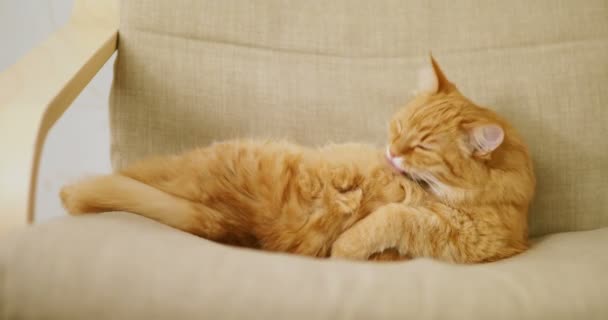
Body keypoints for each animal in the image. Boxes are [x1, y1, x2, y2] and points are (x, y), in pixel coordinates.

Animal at [61, 57, 536, 262]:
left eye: (421, 147)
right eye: (397, 128)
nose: (390, 152)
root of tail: (224, 218)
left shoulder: (459, 236)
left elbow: (389, 221)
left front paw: (346, 249)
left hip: (184, 161)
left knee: (121, 177)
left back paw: (69, 193)